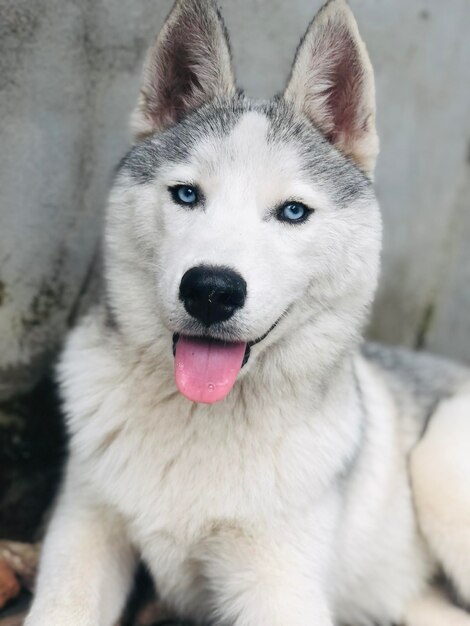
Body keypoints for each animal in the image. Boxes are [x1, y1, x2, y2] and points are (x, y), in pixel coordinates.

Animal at [25, 0, 470, 620]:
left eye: (293, 211)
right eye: (187, 194)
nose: (211, 290)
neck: (200, 418)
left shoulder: (279, 587)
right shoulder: (85, 528)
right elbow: (61, 607)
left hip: (440, 466)